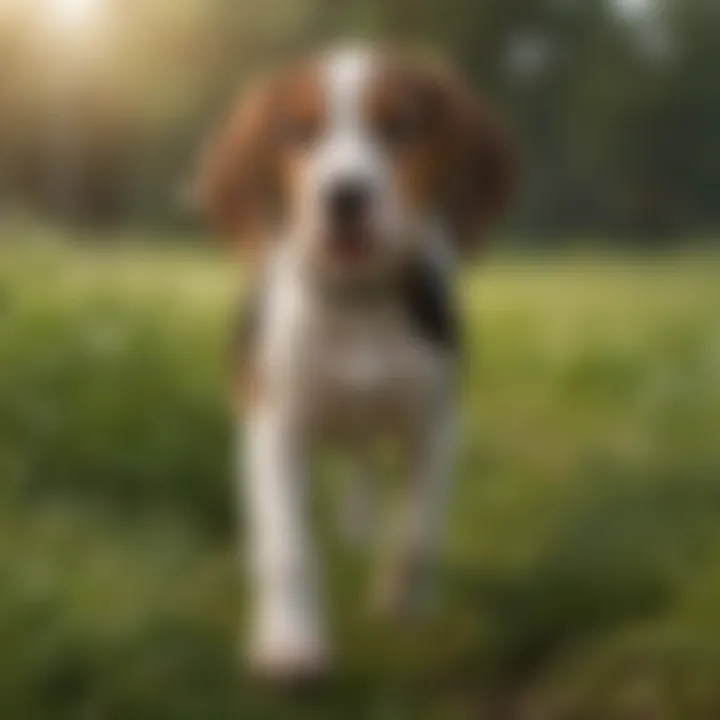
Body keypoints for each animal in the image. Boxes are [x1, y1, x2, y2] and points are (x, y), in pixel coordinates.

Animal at [197, 43, 516, 680]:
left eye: (401, 126)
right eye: (298, 131)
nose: (345, 196)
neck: (358, 300)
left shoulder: (435, 425)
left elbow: (420, 532)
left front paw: (403, 603)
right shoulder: (273, 429)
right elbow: (287, 546)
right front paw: (290, 643)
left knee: (364, 467)